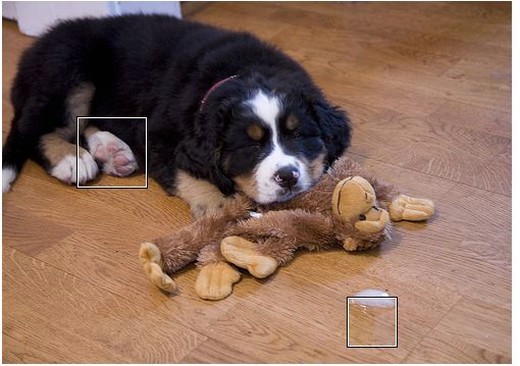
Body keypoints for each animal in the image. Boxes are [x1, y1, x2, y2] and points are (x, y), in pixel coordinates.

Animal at [3, 15, 350, 217]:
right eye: (251, 146)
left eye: (297, 135)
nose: (287, 176)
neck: (244, 71)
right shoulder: (159, 137)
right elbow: (189, 175)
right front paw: (226, 210)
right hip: (68, 68)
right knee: (32, 129)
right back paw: (72, 160)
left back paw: (112, 151)